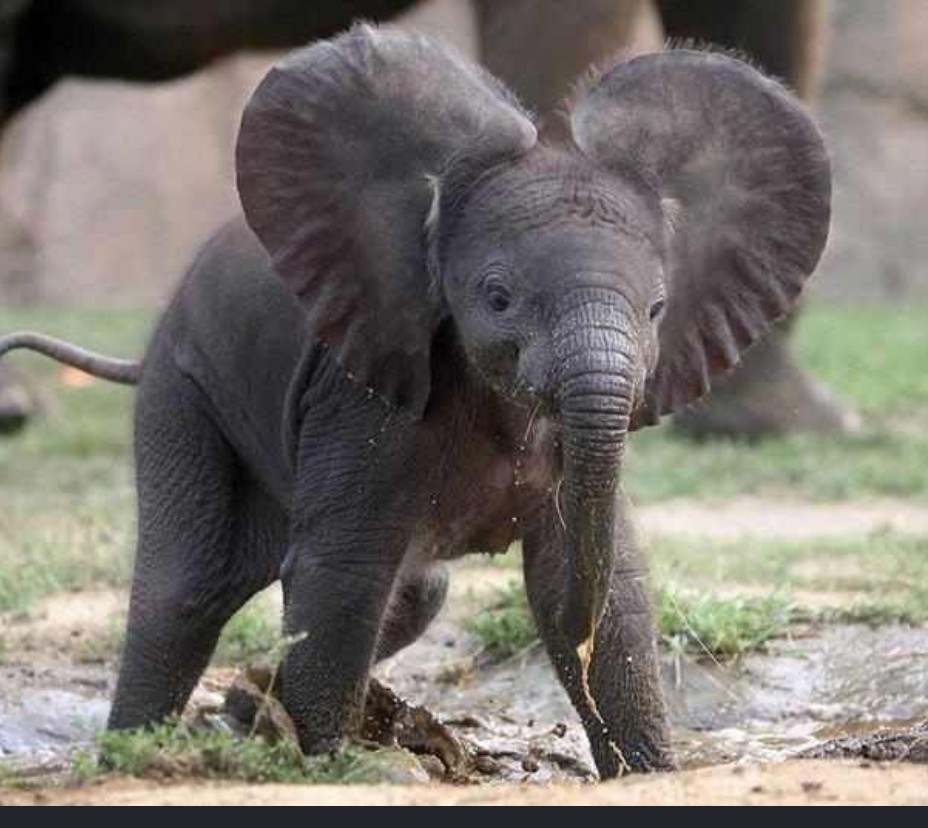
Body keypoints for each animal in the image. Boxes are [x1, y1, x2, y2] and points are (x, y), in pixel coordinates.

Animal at [0, 27, 831, 777]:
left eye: (658, 310)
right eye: (497, 298)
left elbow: (604, 581)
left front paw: (650, 773)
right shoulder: (362, 391)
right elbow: (339, 575)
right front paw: (332, 770)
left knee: (419, 592)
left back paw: (246, 708)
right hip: (186, 390)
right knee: (185, 591)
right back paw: (133, 758)